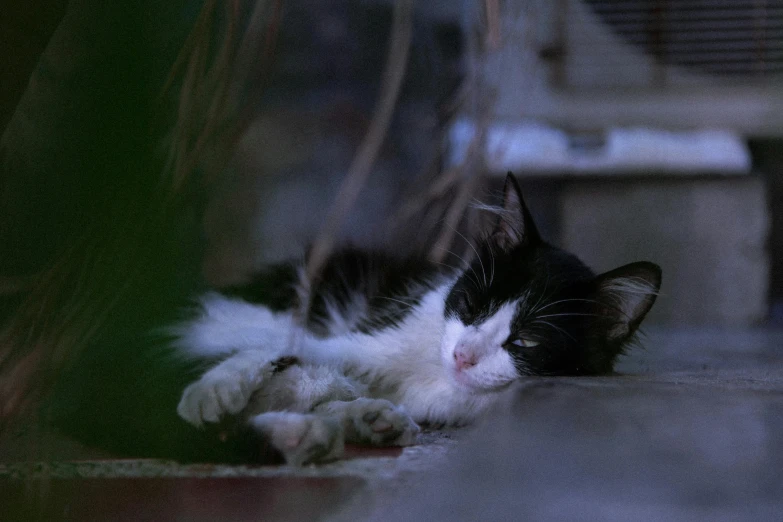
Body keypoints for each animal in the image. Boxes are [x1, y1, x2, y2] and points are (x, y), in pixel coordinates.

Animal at [170, 175, 660, 464]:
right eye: (472, 306)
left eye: (526, 342)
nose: (462, 356)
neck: (433, 376)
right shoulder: (364, 337)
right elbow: (279, 347)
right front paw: (215, 388)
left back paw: (346, 425)